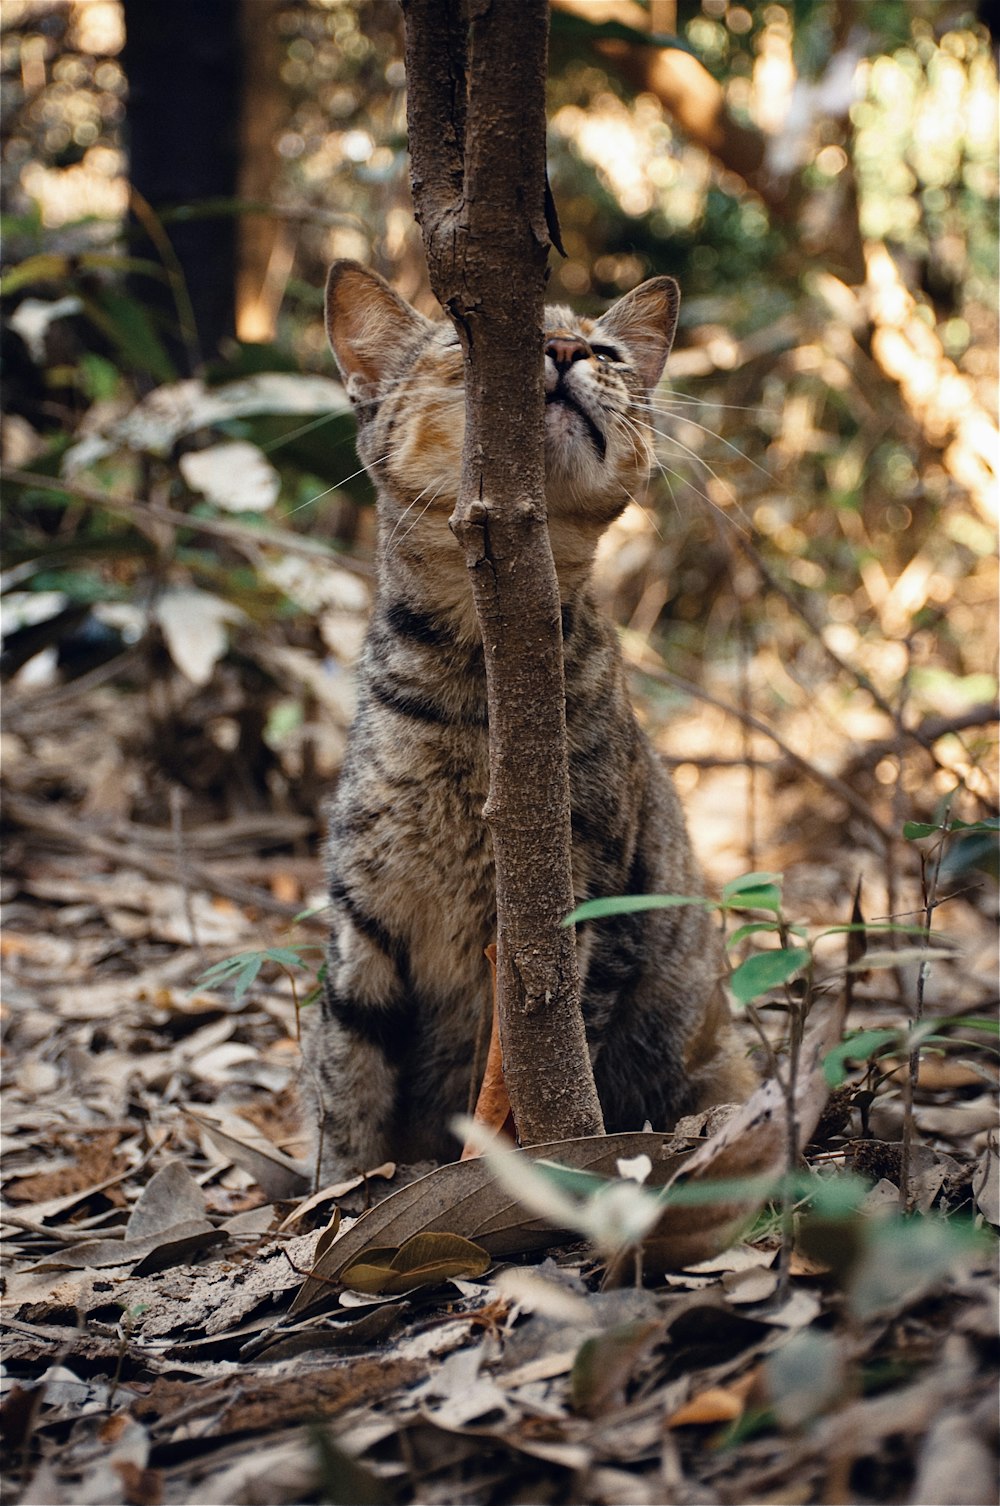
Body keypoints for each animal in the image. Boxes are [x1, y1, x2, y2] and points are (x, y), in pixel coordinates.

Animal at [304, 262, 750, 1186]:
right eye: (463, 339)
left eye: (607, 351)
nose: (566, 348)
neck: (483, 680)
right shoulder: (364, 914)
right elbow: (344, 1091)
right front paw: (333, 1205)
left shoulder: (589, 907)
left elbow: (537, 1071)